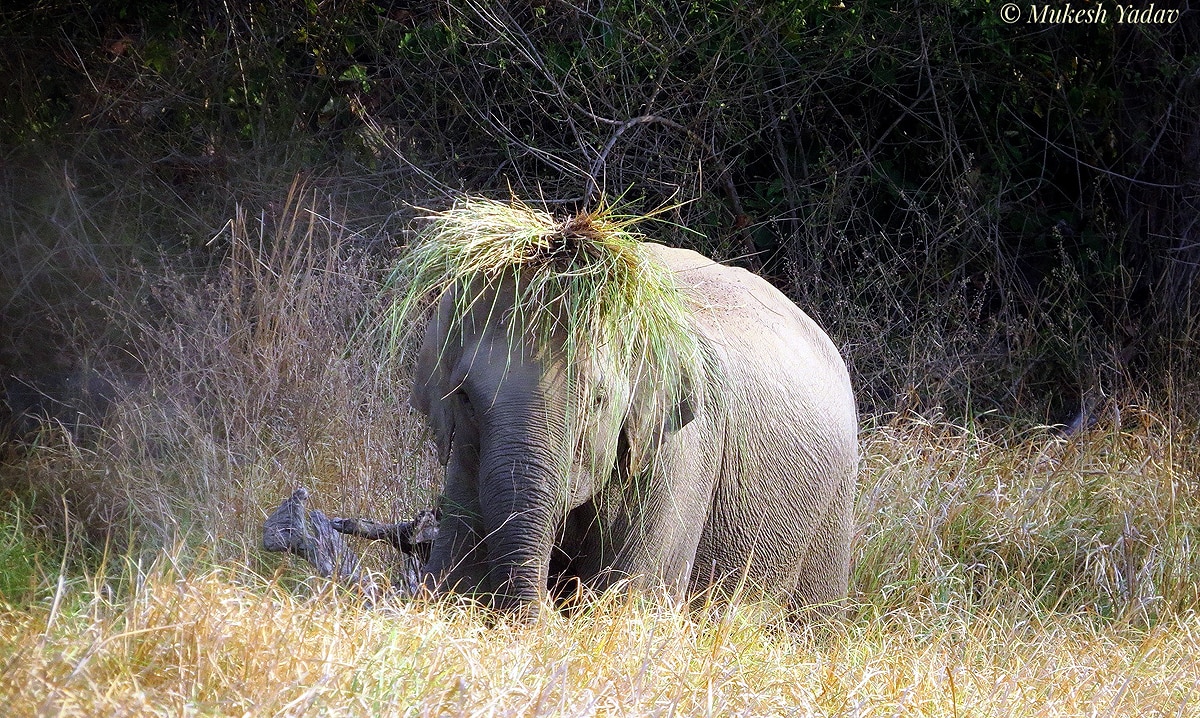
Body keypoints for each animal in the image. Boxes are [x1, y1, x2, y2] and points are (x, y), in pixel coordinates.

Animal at [410, 242, 858, 616]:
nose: (548, 600)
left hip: (835, 504)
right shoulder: (466, 455)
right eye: (465, 398)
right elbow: (453, 577)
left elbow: (631, 596)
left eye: (597, 401)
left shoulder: (683, 453)